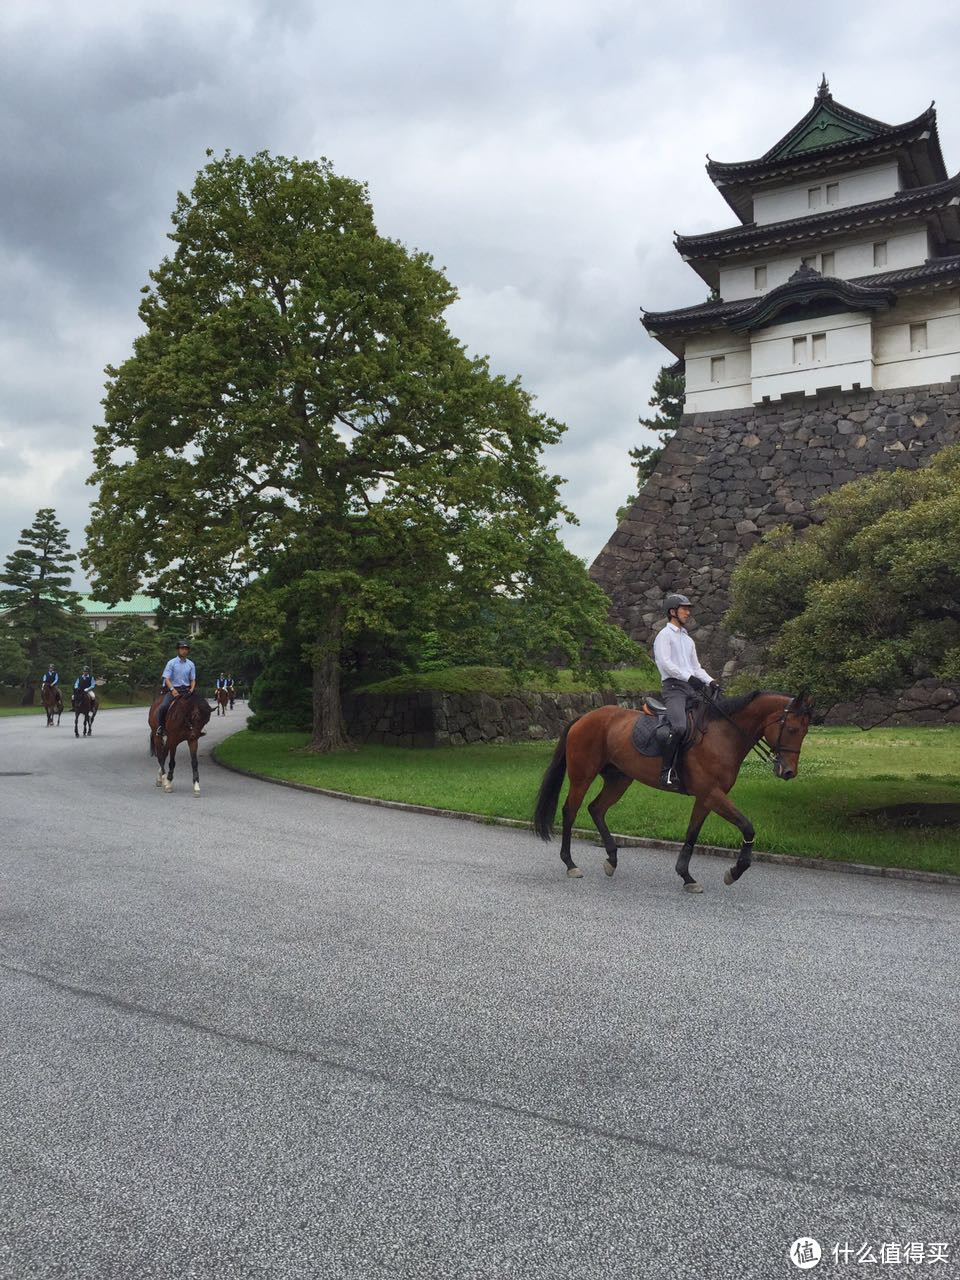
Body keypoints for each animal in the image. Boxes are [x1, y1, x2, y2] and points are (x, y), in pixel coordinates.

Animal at [529, 691, 814, 890]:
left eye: (804, 731)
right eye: (791, 728)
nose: (788, 771)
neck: (723, 735)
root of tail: (584, 717)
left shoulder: (706, 797)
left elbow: (692, 834)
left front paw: (686, 876)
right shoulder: (713, 794)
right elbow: (747, 826)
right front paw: (735, 871)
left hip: (619, 779)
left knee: (596, 809)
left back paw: (611, 859)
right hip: (582, 777)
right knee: (570, 811)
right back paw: (570, 863)